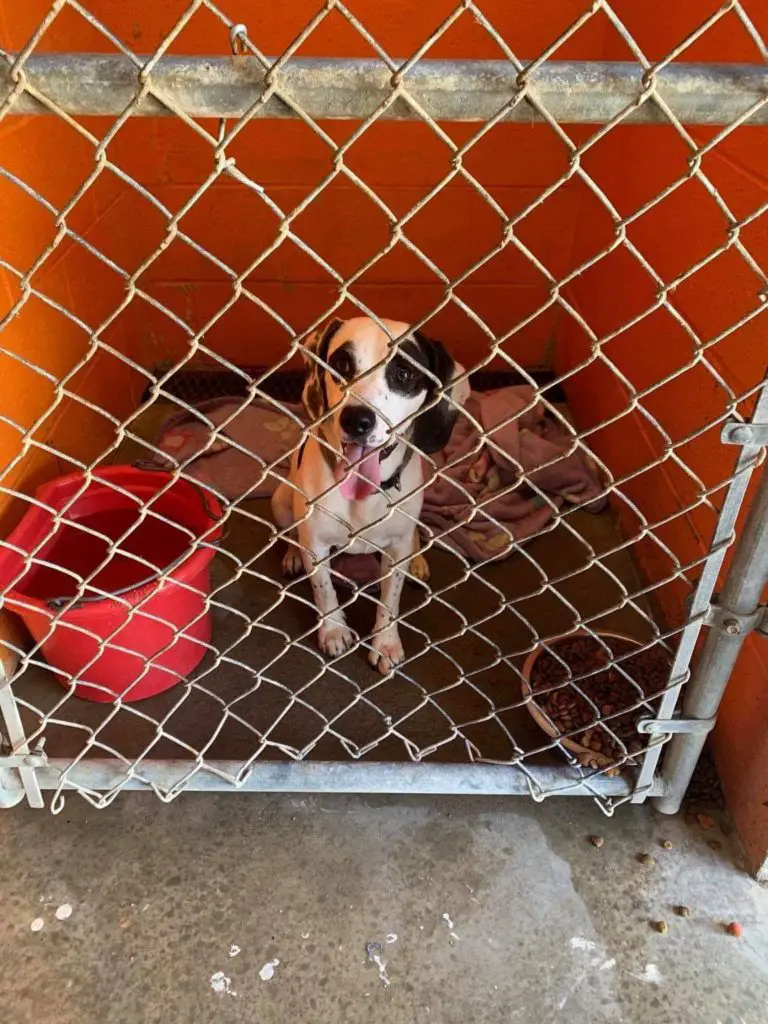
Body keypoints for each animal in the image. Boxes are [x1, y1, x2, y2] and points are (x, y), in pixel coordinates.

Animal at [274, 315, 473, 675]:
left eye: (404, 374)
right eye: (341, 363)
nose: (357, 420)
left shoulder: (395, 550)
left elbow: (390, 601)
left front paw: (385, 643)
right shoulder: (317, 545)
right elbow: (324, 591)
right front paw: (334, 631)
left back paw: (418, 559)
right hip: (282, 500)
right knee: (290, 532)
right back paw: (292, 554)